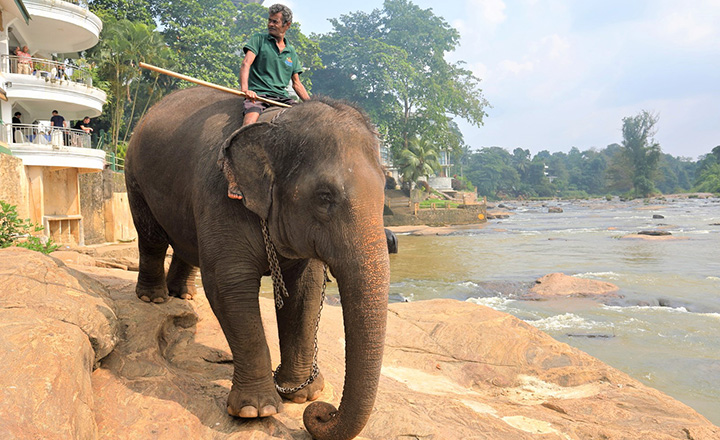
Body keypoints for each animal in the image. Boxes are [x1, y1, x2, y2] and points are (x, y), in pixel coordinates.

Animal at [126, 87, 390, 440]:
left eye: (385, 188)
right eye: (324, 197)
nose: (323, 413)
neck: (275, 124)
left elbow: (305, 291)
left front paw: (302, 393)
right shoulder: (221, 196)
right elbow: (229, 286)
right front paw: (256, 410)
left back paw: (183, 294)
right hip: (134, 174)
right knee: (152, 235)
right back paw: (153, 297)